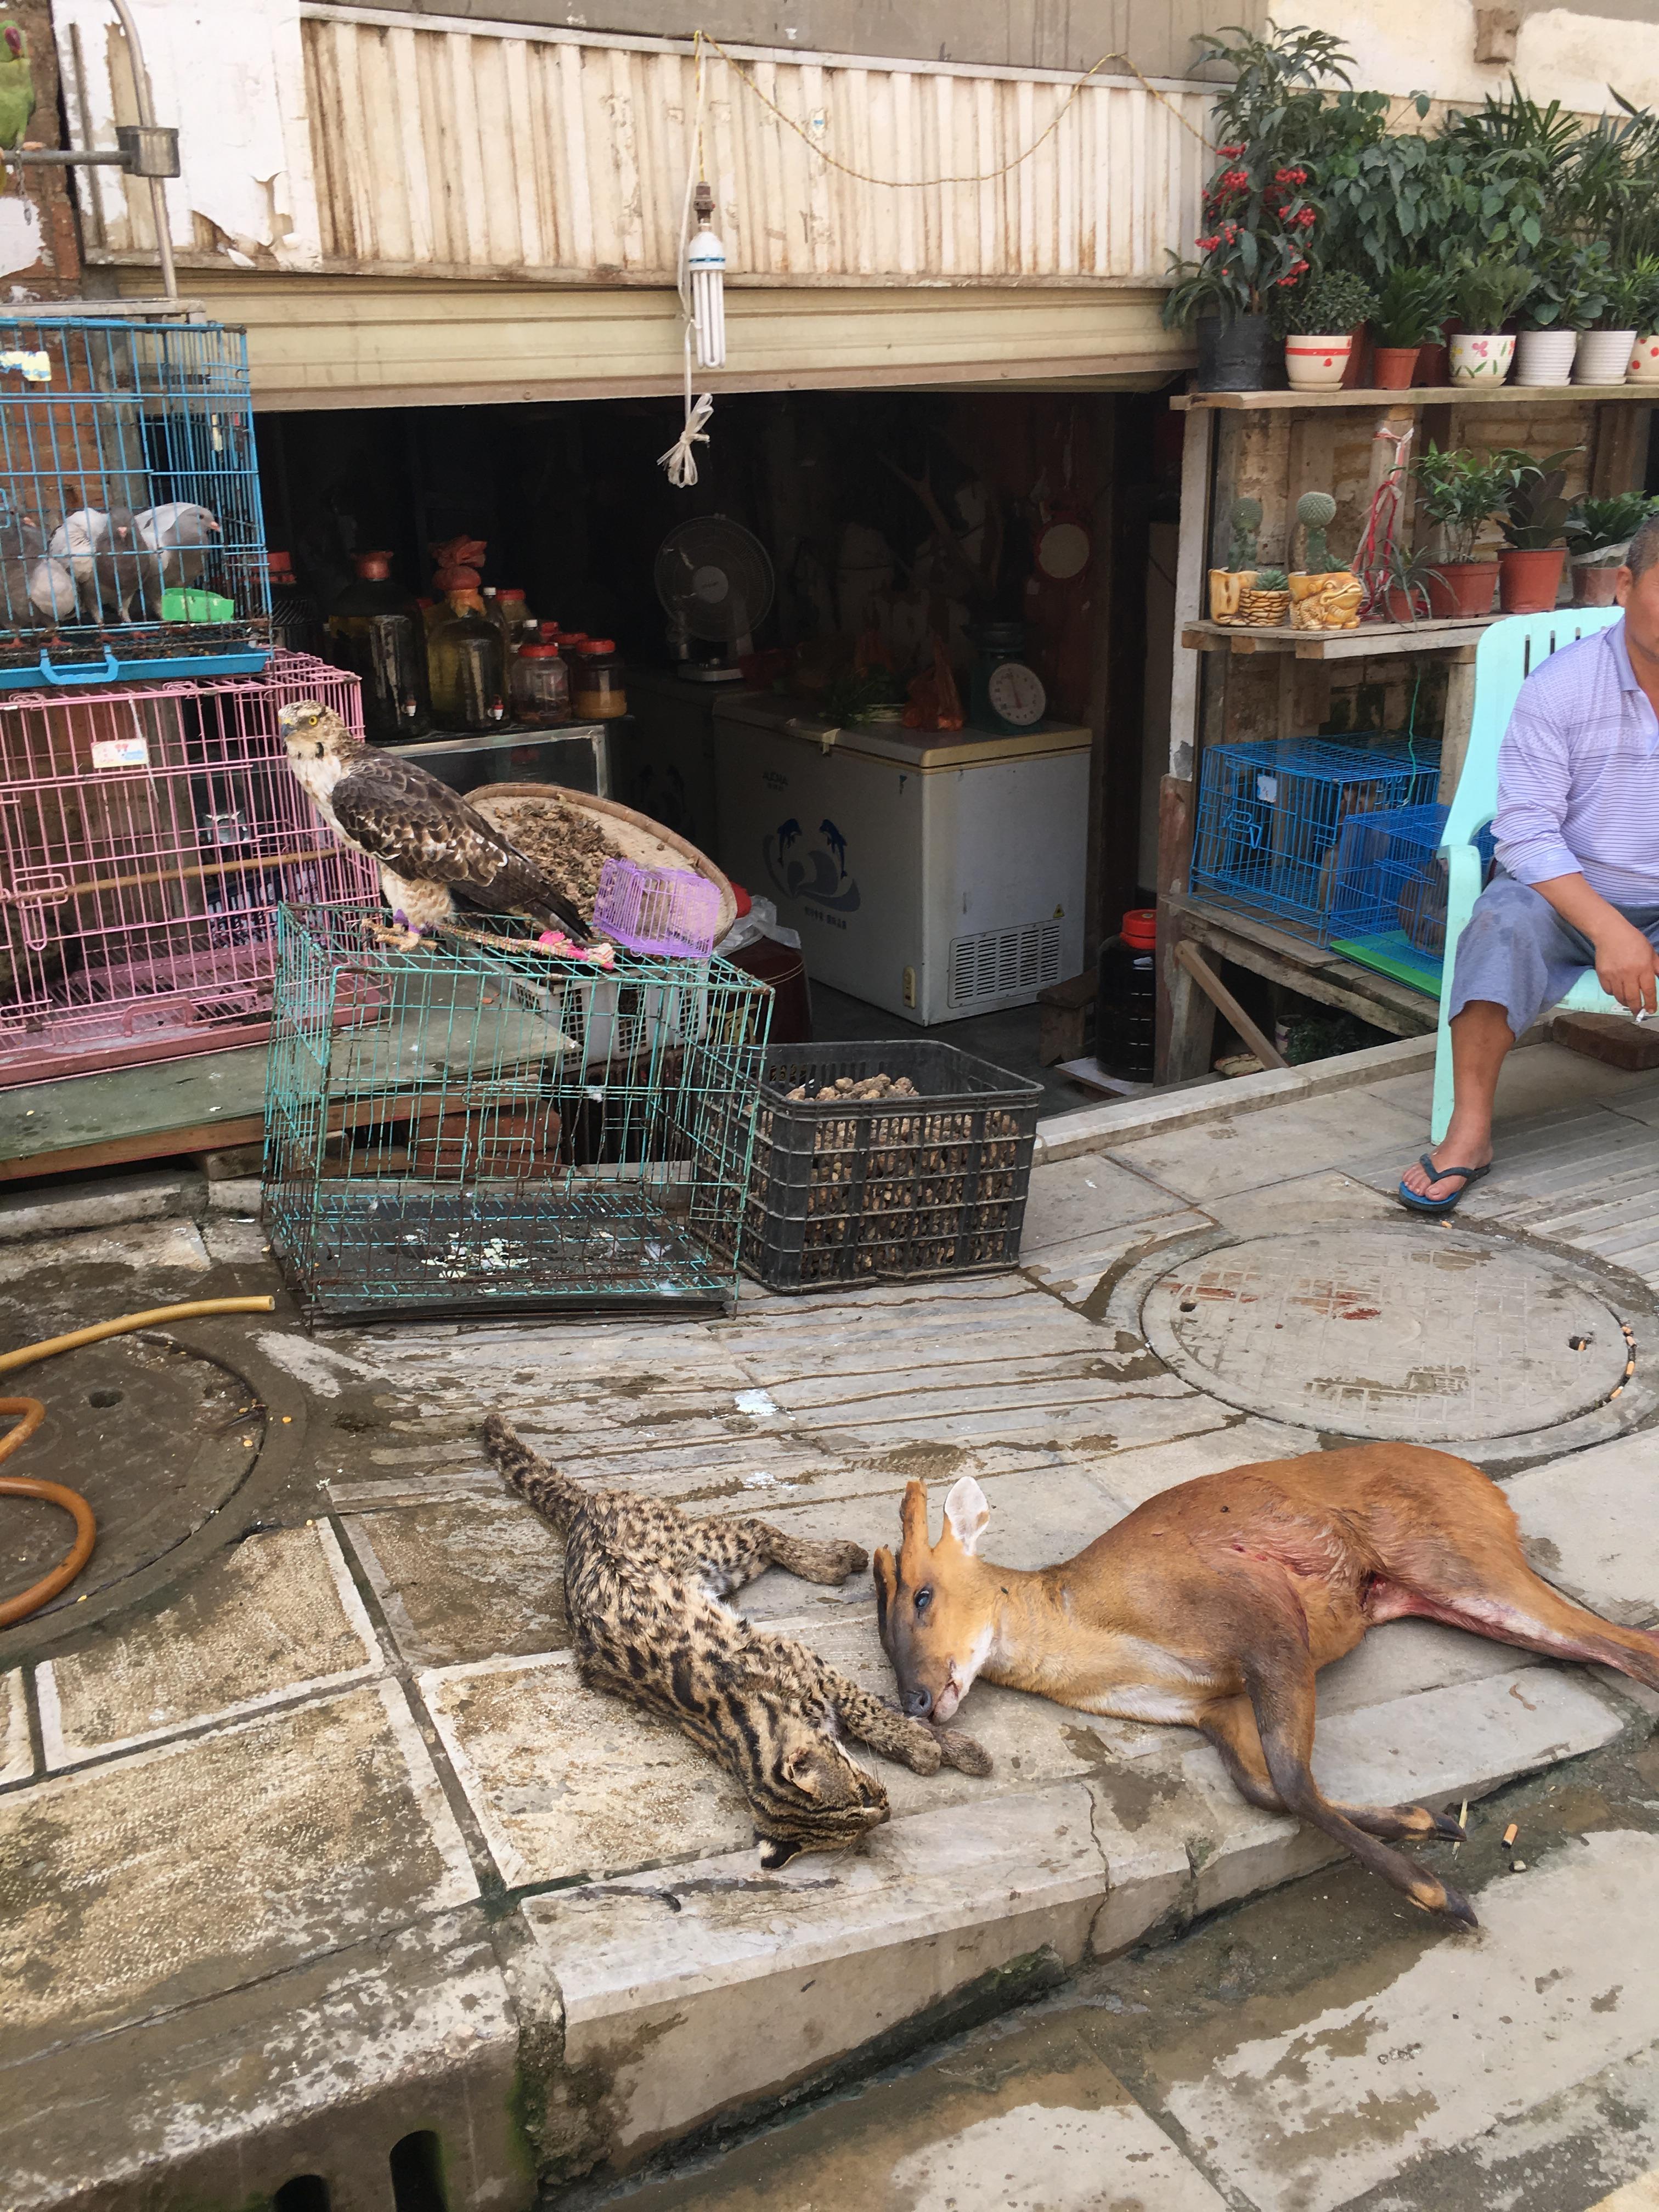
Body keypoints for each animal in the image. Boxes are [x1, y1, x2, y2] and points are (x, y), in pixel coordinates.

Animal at [871, 1442, 1659, 1928]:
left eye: (922, 1596)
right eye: (883, 1629)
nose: (917, 1701)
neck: (1100, 1634)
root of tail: (1491, 1489)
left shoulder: (1262, 1607)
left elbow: (1291, 1778)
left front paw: (1441, 1896)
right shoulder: (1213, 1705)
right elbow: (1265, 1786)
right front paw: (1427, 1821)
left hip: (1456, 1552)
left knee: (1631, 1646)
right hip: (1439, 1591)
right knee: (1617, 1648)